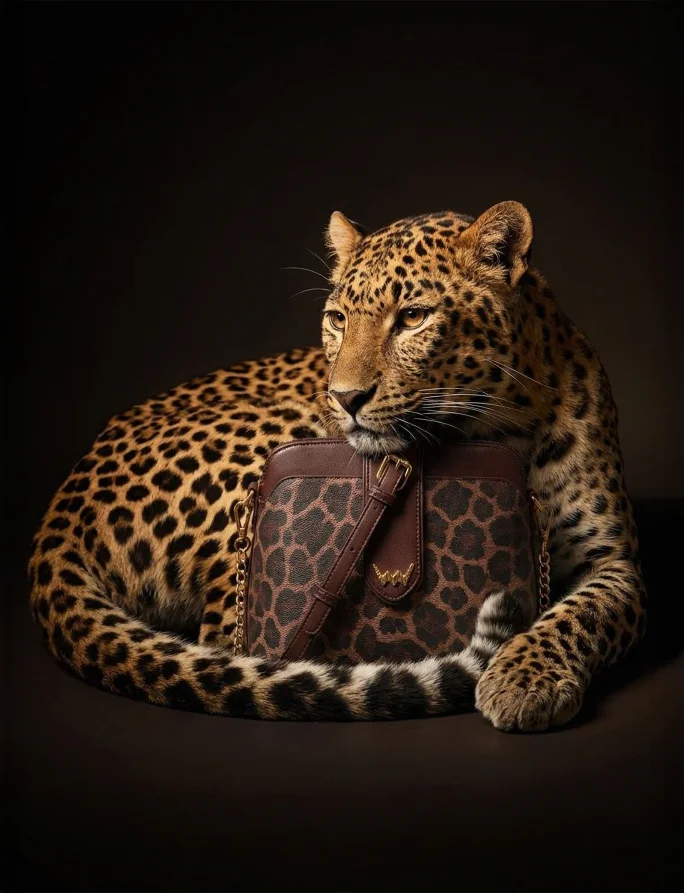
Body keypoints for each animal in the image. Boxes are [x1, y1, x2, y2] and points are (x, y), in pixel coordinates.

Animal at [27, 201, 647, 730]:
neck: (504, 428)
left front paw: (523, 679)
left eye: (413, 317)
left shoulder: (613, 559)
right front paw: (520, 680)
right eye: (337, 318)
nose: (344, 397)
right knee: (224, 639)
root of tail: (63, 507)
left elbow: (581, 613)